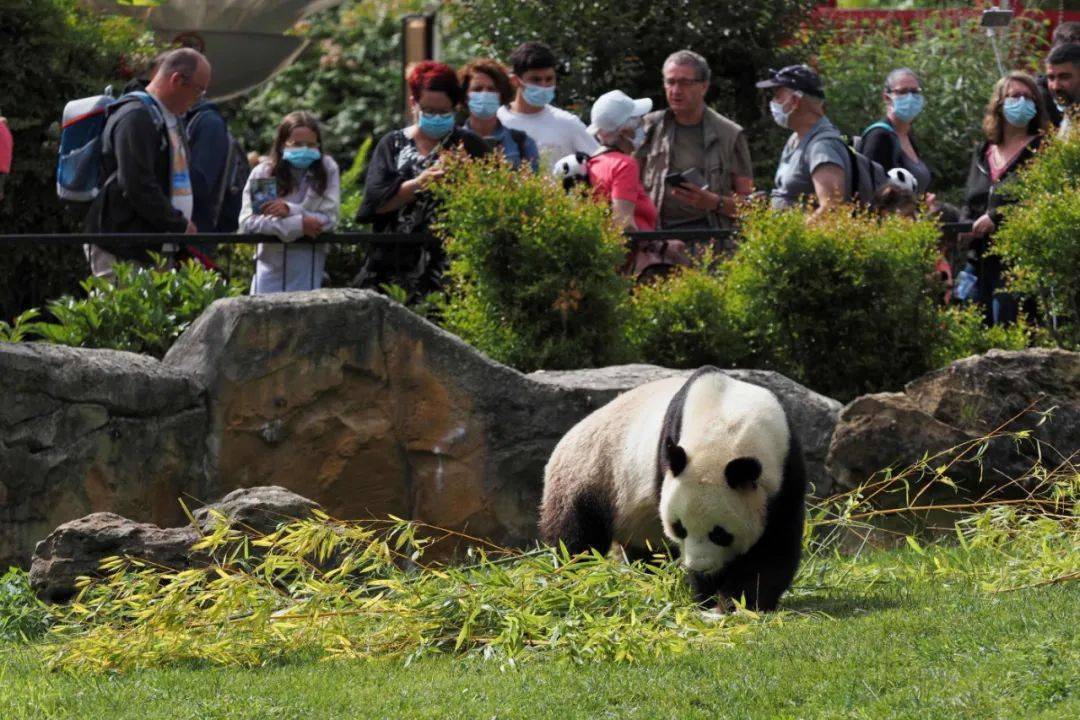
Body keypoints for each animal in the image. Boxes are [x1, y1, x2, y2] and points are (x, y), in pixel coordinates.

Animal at [537, 369, 803, 613]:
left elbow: (775, 545)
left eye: (720, 533)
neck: (728, 422)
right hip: (591, 474)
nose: (700, 568)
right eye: (679, 528)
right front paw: (708, 596)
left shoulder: (786, 468)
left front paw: (740, 600)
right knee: (576, 536)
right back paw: (574, 576)